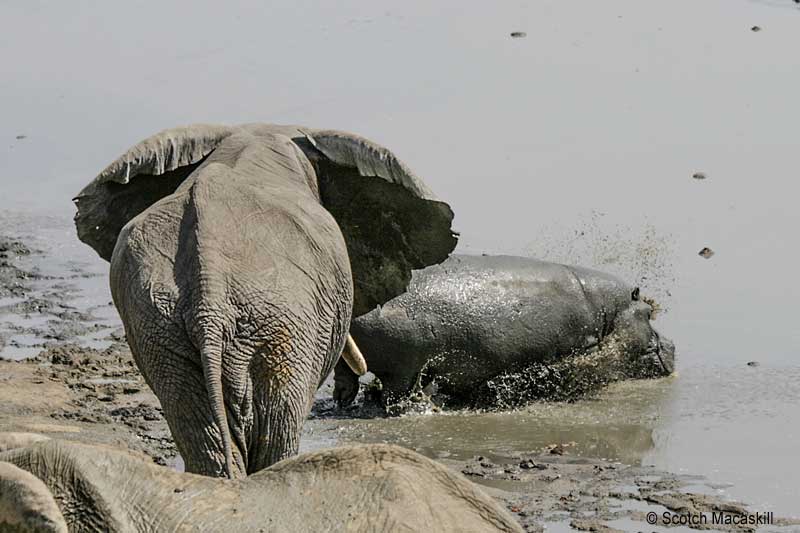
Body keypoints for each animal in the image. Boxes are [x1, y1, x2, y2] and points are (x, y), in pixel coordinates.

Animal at [332, 254, 676, 408]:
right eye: (649, 313)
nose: (672, 344)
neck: (610, 310)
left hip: (352, 358)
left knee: (346, 382)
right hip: (404, 368)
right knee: (394, 395)